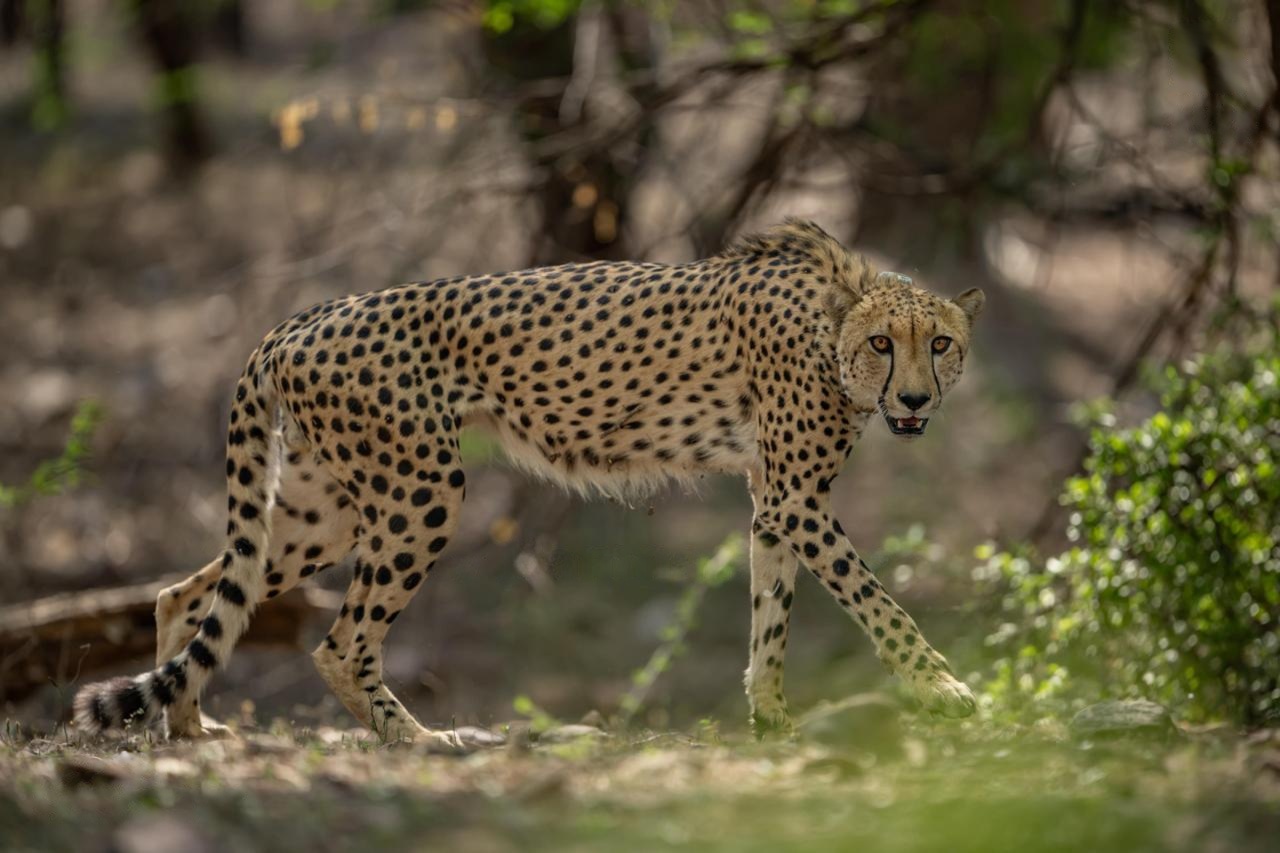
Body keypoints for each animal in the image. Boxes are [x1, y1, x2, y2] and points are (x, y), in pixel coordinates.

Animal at [73, 218, 985, 746]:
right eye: (884, 343)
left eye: (940, 343)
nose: (914, 399)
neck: (835, 326)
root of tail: (299, 317)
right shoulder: (797, 496)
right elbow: (880, 603)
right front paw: (947, 689)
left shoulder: (775, 501)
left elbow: (772, 611)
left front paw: (772, 719)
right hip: (419, 491)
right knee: (339, 641)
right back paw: (420, 741)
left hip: (321, 507)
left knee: (190, 595)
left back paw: (187, 726)